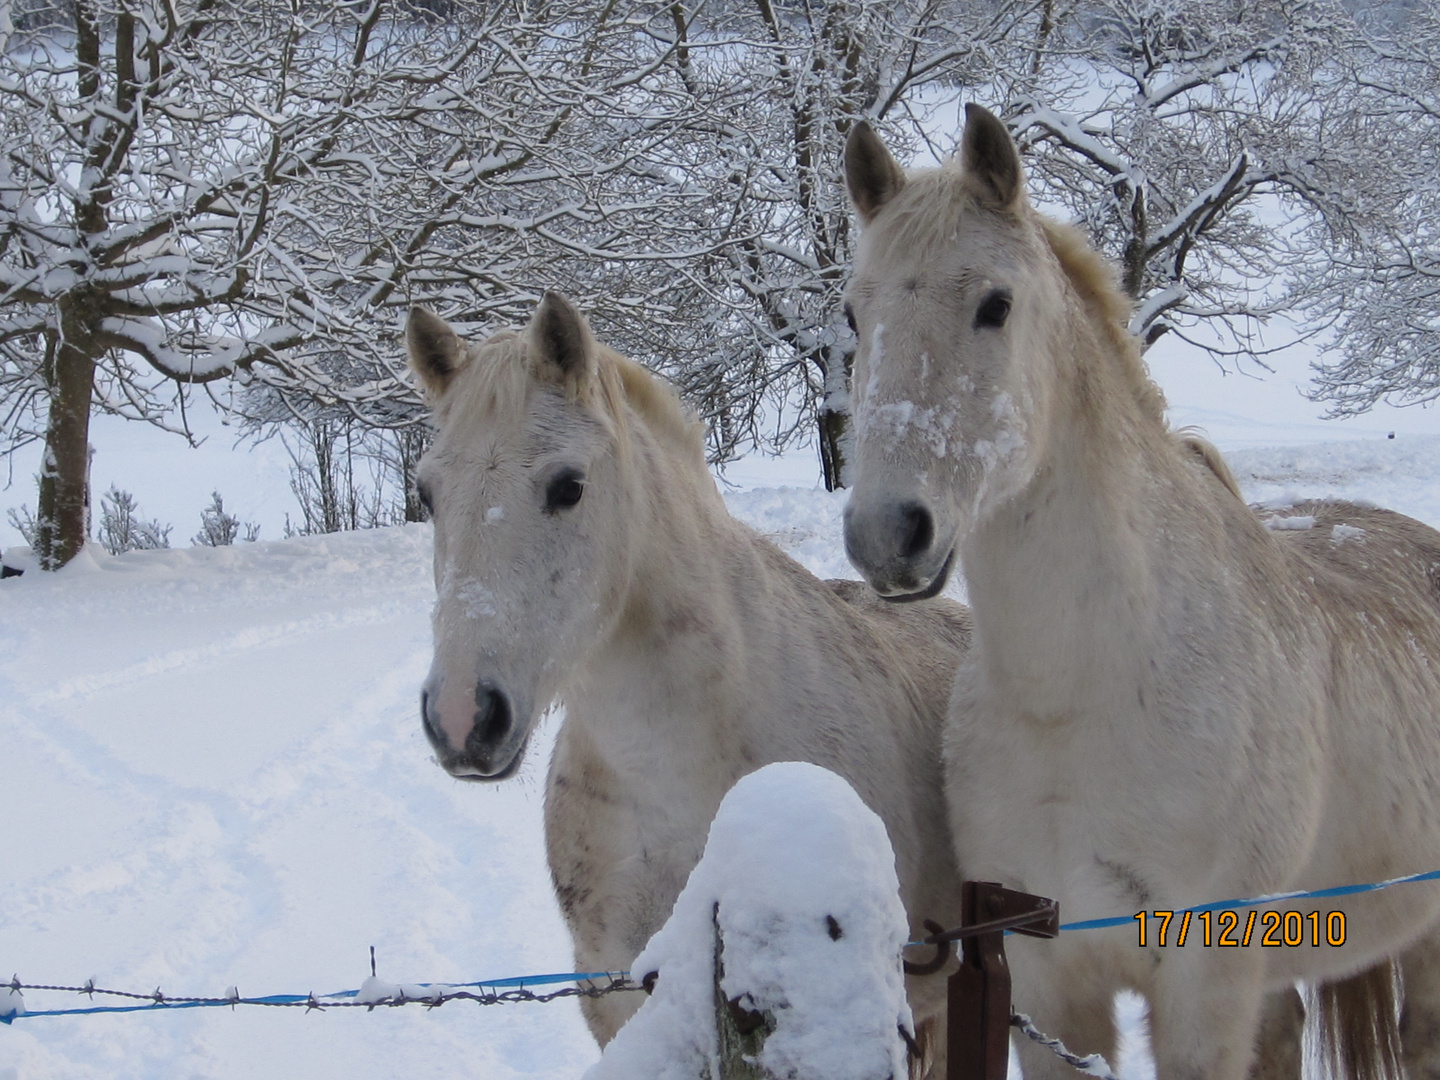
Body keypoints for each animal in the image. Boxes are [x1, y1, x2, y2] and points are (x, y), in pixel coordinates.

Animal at [840, 108, 1440, 1080]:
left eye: (996, 304)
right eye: (856, 313)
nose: (887, 535)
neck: (1086, 697)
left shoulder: (1203, 988)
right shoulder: (1048, 986)